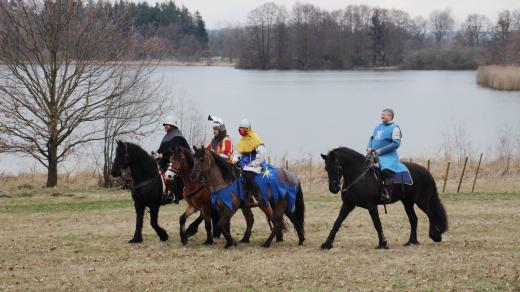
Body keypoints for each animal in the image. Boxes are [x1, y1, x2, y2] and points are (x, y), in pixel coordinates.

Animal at [318, 147, 448, 250]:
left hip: (422, 201)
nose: (333, 188)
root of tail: (427, 172)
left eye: (337, 167)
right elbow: (337, 223)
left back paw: (435, 236)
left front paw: (383, 243)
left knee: (431, 215)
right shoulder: (348, 204)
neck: (359, 178)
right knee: (414, 219)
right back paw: (411, 242)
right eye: (326, 168)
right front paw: (327, 244)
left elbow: (377, 224)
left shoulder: (371, 206)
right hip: (407, 202)